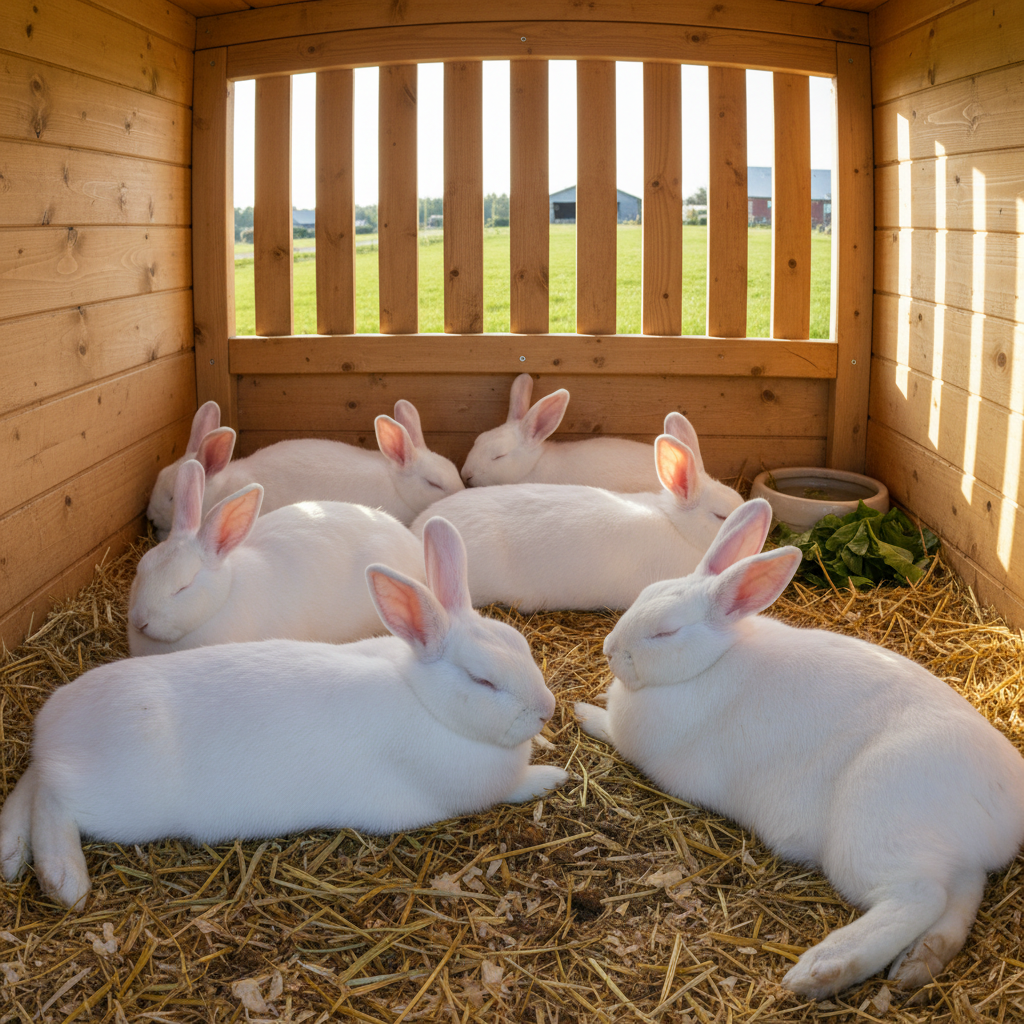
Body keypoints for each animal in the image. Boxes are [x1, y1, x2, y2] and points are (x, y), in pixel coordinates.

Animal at [0, 517, 568, 910]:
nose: (545, 710)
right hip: (117, 800)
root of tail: (51, 728)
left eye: (522, 646)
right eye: (483, 681)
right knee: (54, 800)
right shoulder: (472, 791)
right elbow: (516, 786)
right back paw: (65, 881)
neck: (425, 699)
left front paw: (547, 745)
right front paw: (552, 775)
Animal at [574, 497, 1024, 1000]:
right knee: (958, 898)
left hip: (871, 832)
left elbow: (607, 728)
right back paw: (919, 963)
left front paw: (580, 711)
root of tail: (1008, 809)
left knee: (919, 897)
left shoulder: (634, 741)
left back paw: (821, 970)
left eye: (666, 633)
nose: (610, 650)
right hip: (954, 862)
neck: (712, 662)